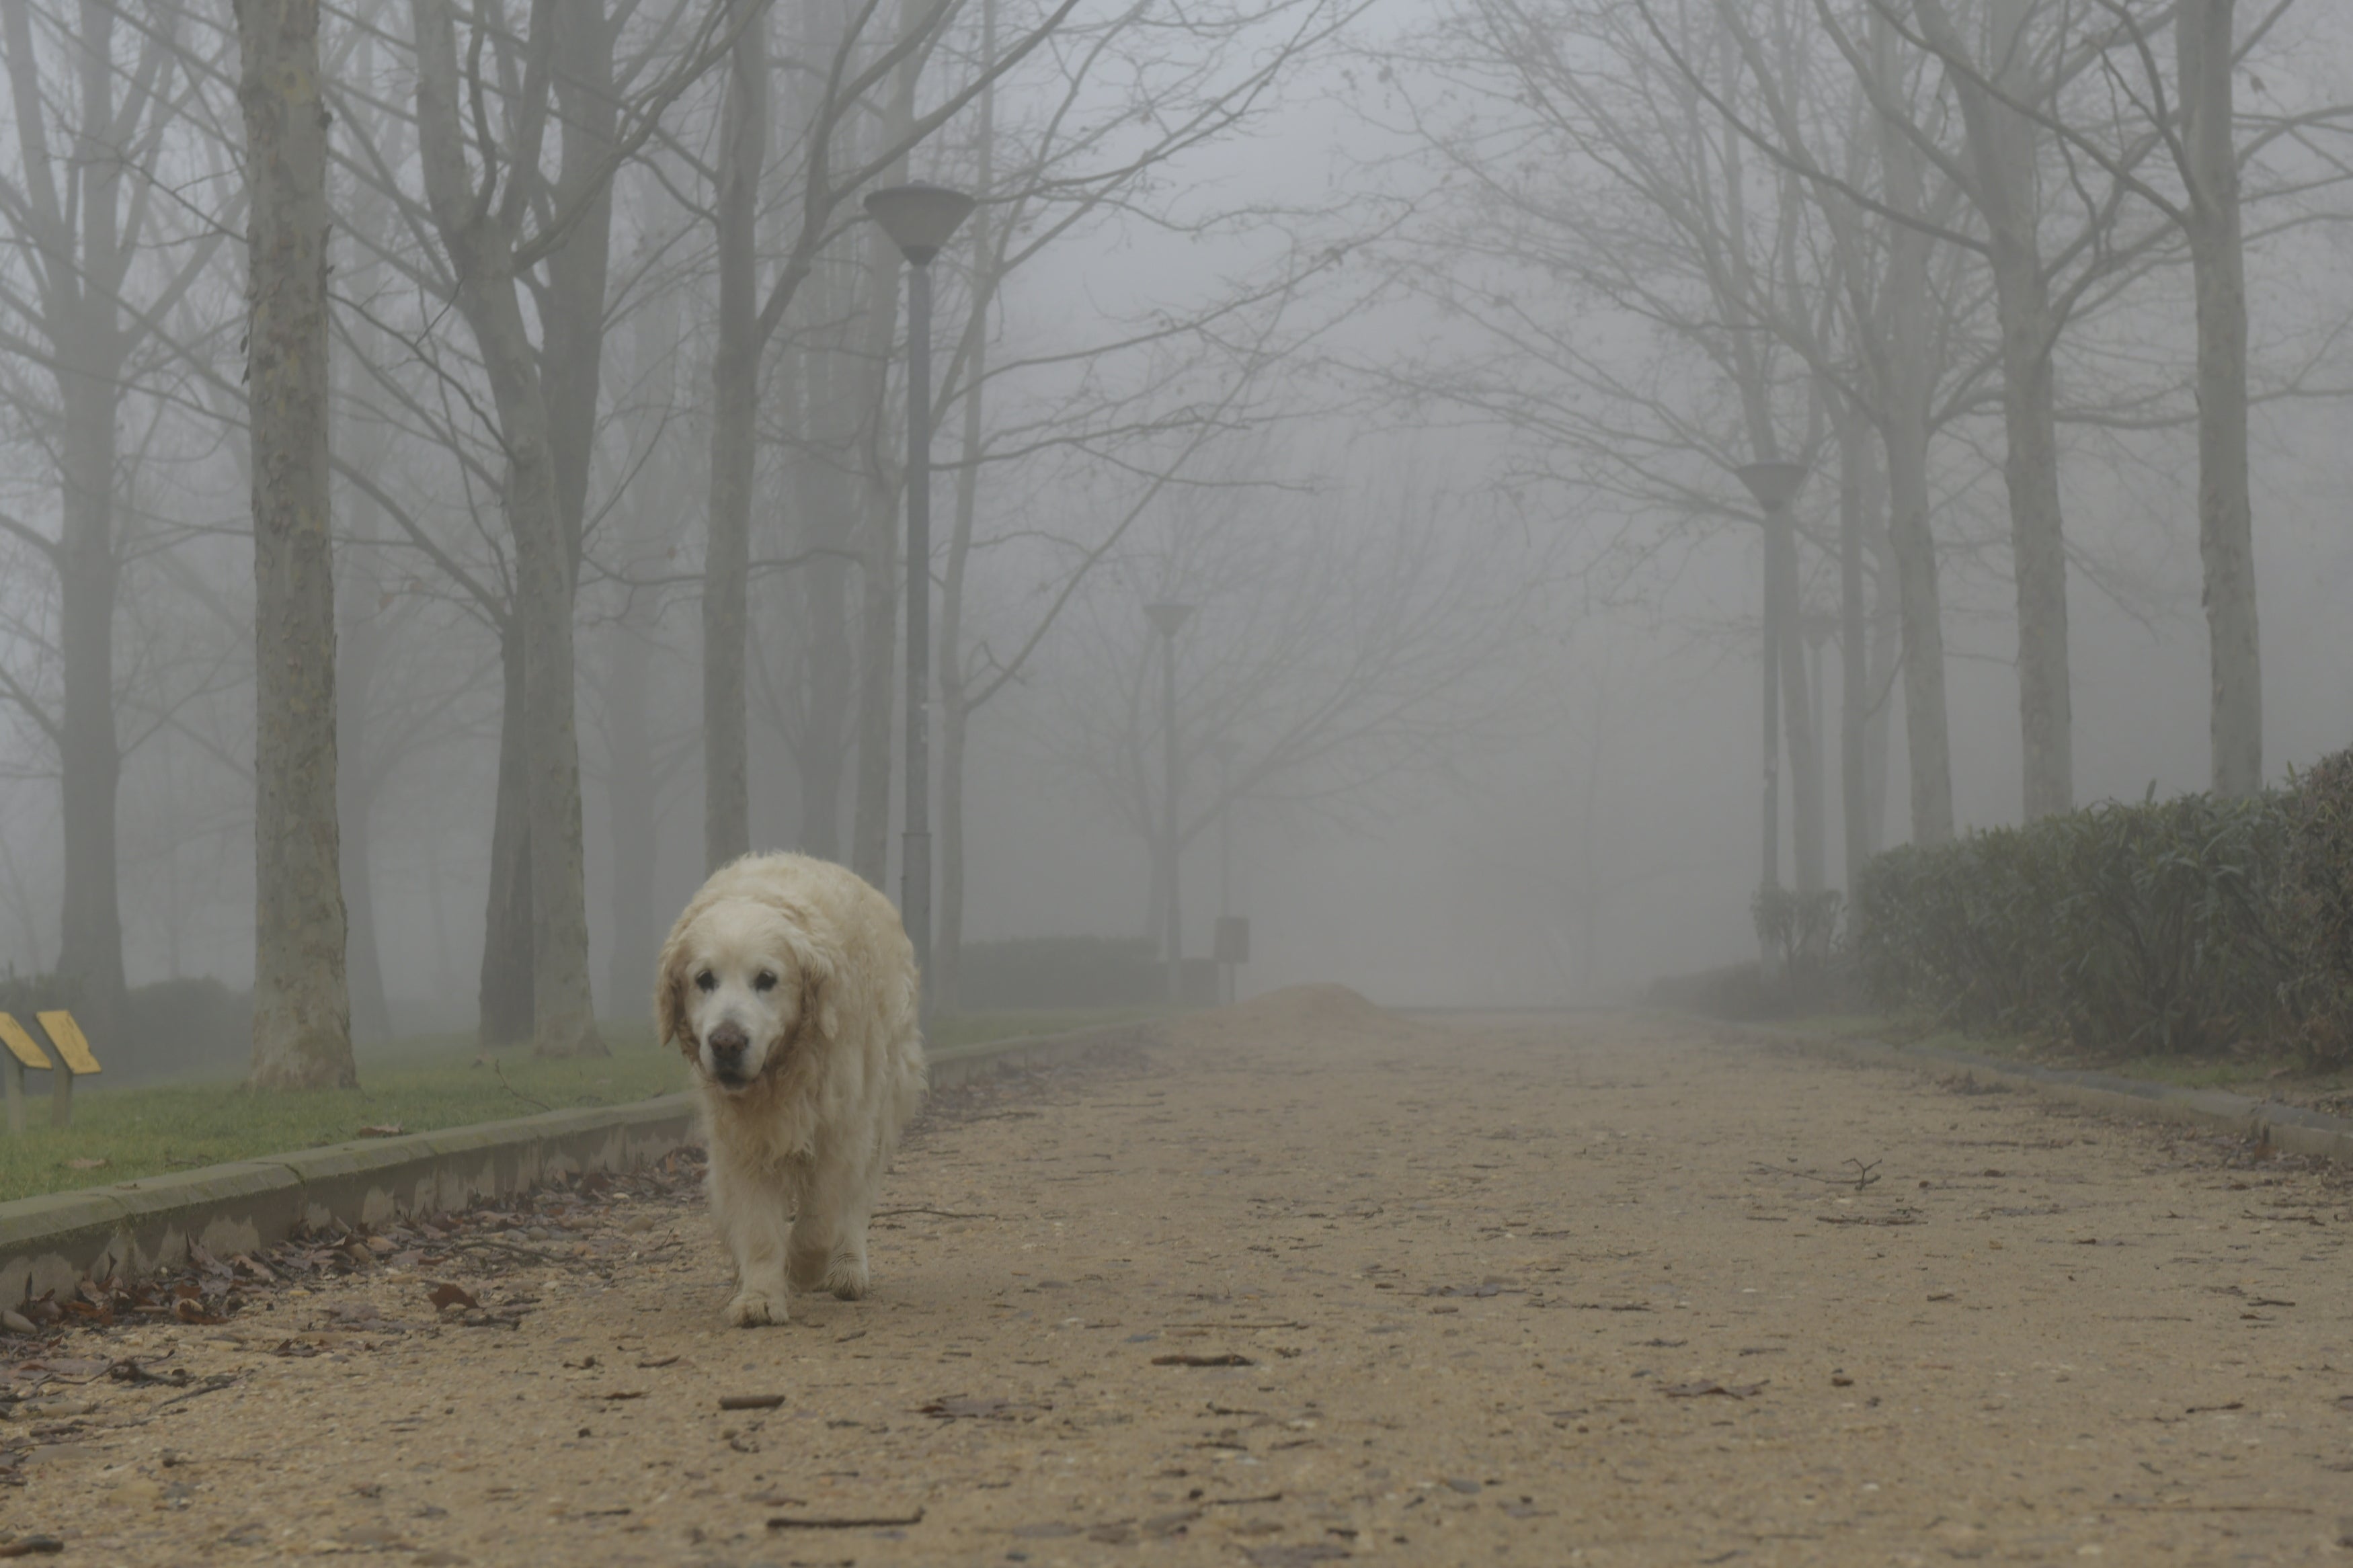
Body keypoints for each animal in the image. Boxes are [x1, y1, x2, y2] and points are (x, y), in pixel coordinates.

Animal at [664, 860, 927, 1325]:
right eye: (704, 979)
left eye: (767, 979)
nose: (727, 1043)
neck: (781, 1072)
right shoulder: (742, 1139)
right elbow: (757, 1226)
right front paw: (760, 1295)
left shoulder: (842, 1131)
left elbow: (819, 1219)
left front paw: (802, 1269)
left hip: (883, 1105)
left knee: (856, 1204)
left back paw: (846, 1268)